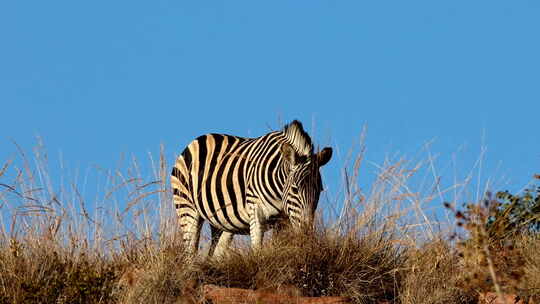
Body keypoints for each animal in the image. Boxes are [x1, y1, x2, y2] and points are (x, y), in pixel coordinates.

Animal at [172, 120, 334, 258]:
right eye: (295, 189)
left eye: (319, 191)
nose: (307, 234)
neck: (279, 192)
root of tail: (199, 138)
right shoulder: (256, 210)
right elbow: (257, 249)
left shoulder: (283, 220)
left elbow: (279, 247)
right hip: (187, 208)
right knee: (190, 251)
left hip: (222, 221)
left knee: (216, 253)